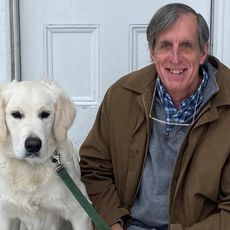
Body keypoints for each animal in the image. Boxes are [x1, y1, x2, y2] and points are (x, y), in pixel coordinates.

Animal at [0, 81, 94, 230]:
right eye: (16, 114)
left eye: (45, 114)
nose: (33, 145)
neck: (31, 172)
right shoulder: (6, 213)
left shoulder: (79, 212)